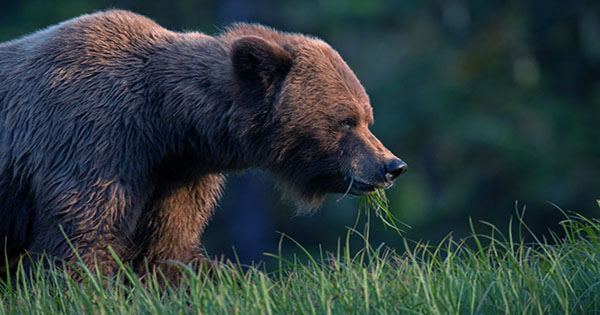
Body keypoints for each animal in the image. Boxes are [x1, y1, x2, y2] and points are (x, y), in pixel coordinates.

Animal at [0, 9, 408, 276]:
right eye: (345, 120)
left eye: (367, 117)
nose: (392, 165)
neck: (165, 124)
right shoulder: (94, 139)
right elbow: (83, 234)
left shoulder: (177, 175)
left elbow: (169, 246)